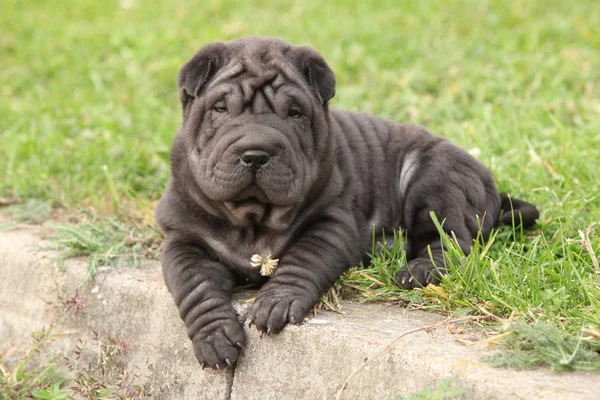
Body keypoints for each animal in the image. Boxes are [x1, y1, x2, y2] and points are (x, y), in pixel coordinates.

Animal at [155, 36, 540, 368]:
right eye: (220, 109)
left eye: (294, 113)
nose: (256, 152)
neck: (252, 217)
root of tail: (489, 184)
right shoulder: (184, 239)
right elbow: (195, 286)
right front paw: (215, 337)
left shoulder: (331, 222)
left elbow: (304, 259)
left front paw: (277, 300)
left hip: (436, 181)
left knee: (452, 238)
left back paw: (419, 269)